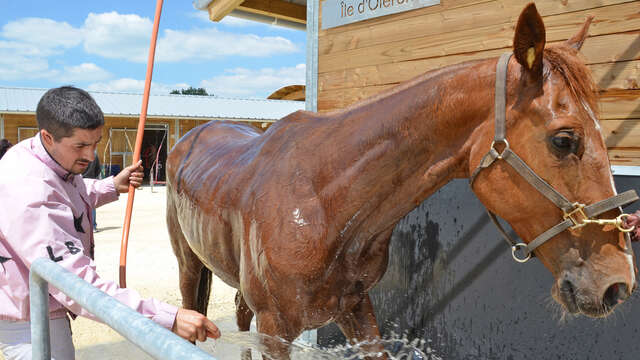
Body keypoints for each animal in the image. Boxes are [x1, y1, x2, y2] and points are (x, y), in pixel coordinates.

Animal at [168, 2, 636, 352]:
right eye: (564, 140)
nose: (618, 284)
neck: (322, 198)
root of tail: (190, 136)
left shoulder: (356, 309)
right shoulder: (275, 329)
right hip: (189, 265)